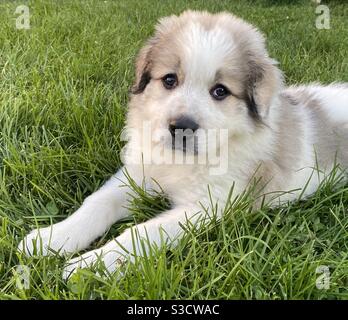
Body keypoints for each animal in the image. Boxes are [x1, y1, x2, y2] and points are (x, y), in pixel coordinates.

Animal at [19, 11, 348, 278]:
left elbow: (142, 231)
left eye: (220, 91)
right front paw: (50, 239)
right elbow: (97, 203)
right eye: (169, 80)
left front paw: (92, 265)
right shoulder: (136, 175)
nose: (181, 128)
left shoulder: (207, 206)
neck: (183, 160)